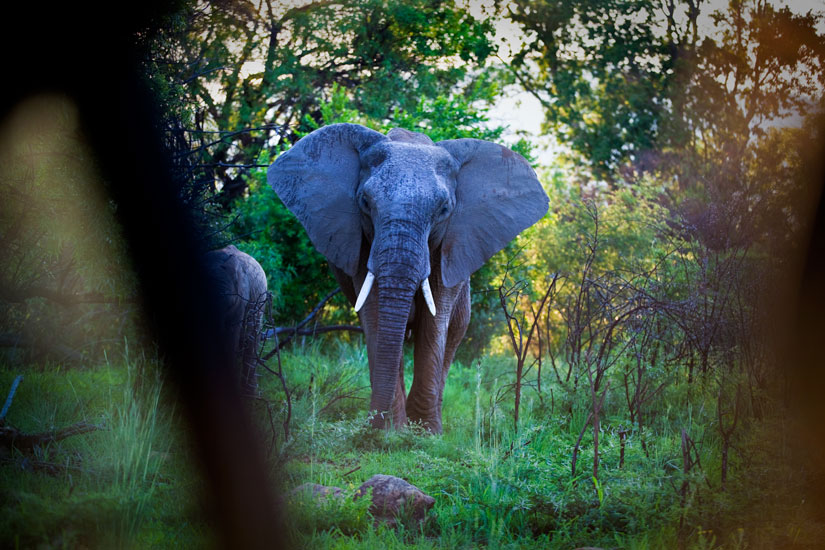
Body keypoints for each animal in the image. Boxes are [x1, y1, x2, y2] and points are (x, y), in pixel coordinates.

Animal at [267, 123, 548, 432]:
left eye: (444, 210)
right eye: (365, 202)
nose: (371, 429)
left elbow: (435, 322)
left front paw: (424, 433)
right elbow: (376, 315)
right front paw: (390, 430)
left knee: (453, 334)